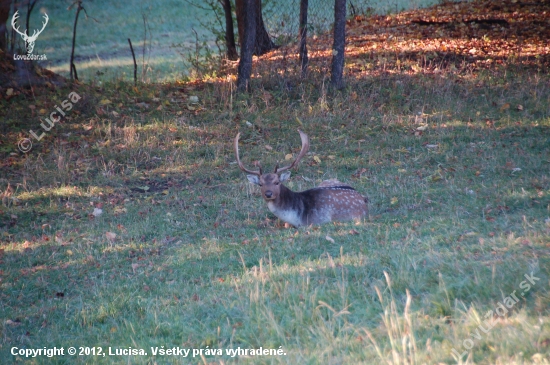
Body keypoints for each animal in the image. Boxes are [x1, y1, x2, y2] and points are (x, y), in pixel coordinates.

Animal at [235, 129, 368, 226]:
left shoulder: (319, 220)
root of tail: (363, 198)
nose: (268, 194)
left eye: (277, 182)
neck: (297, 218)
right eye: (260, 184)